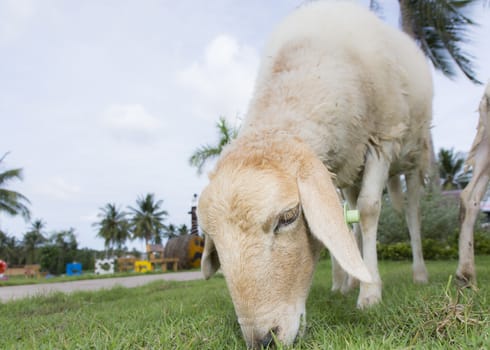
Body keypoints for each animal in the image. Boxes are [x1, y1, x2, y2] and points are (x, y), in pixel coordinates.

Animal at [197, 2, 430, 348]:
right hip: (350, 170)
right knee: (350, 214)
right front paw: (345, 282)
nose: (264, 340)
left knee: (412, 212)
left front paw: (370, 293)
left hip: (416, 152)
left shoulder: (383, 138)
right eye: (214, 237)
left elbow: (370, 209)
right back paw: (347, 282)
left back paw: (419, 274)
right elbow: (340, 224)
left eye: (289, 217)